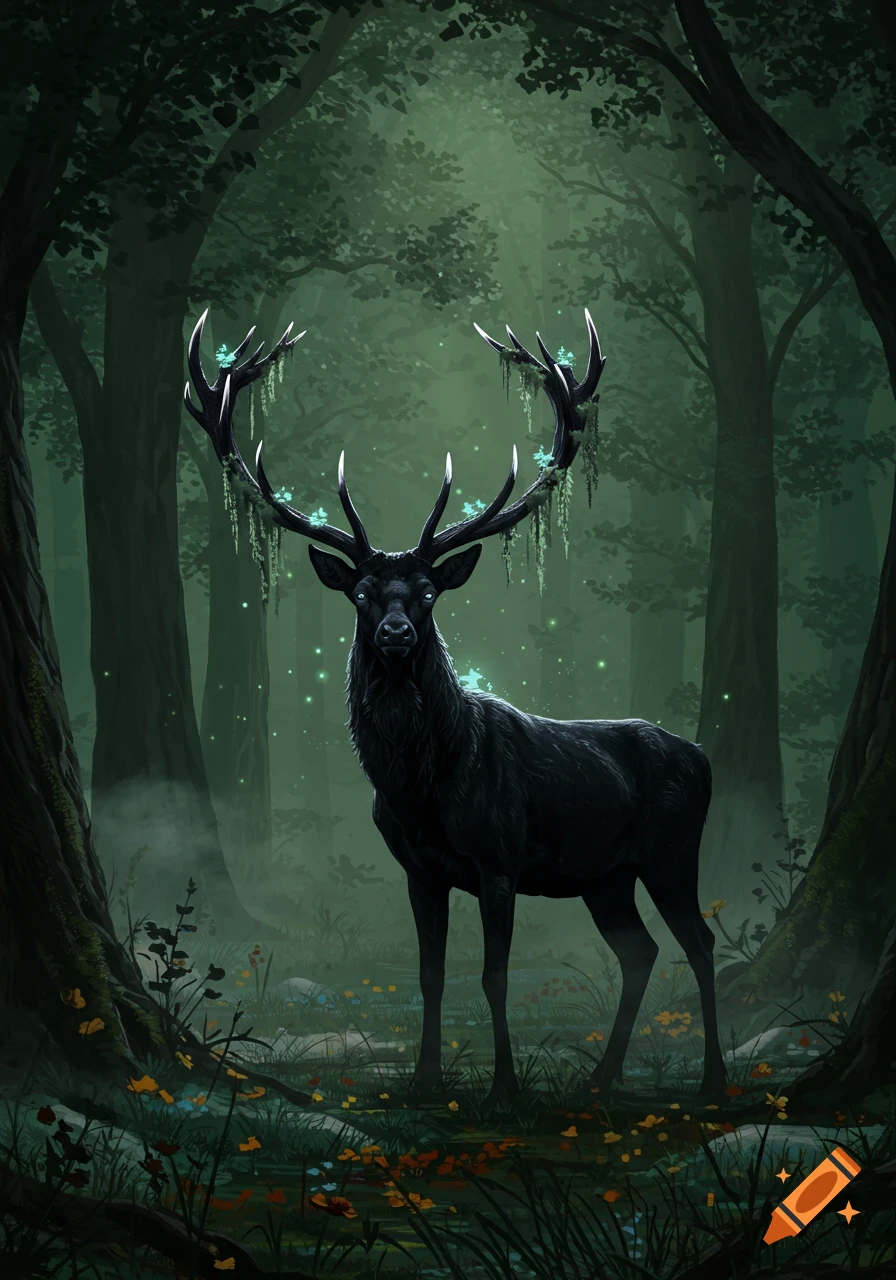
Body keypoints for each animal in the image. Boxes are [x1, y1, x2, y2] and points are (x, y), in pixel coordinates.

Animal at [184, 308, 727, 1106]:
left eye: (428, 593)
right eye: (361, 593)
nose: (396, 632)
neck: (420, 788)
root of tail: (703, 757)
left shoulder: (501, 859)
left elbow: (494, 976)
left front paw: (503, 1088)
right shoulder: (419, 869)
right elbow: (431, 974)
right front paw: (423, 1080)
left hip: (670, 852)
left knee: (700, 941)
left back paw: (711, 1078)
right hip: (605, 876)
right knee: (641, 950)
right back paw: (600, 1079)